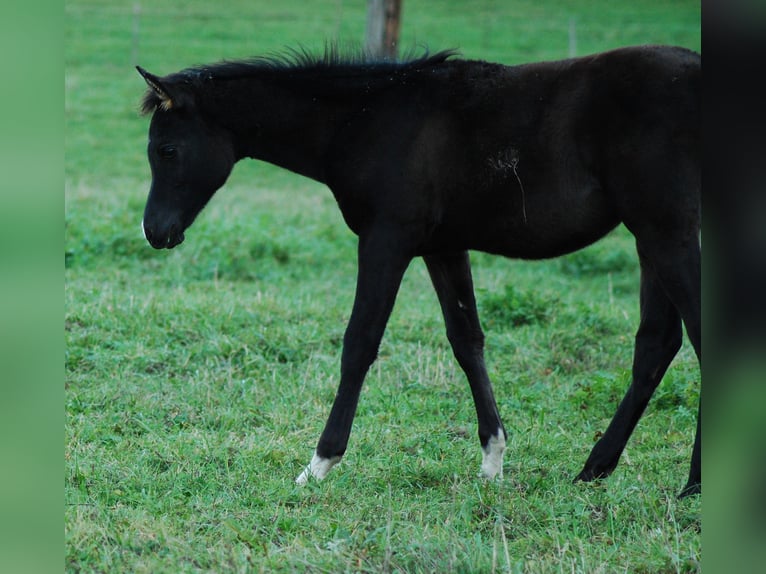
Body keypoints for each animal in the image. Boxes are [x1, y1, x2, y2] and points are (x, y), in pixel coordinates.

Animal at [138, 45, 704, 498]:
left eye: (167, 150)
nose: (155, 231)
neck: (365, 119)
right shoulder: (444, 247)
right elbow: (466, 340)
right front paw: (493, 462)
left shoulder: (386, 240)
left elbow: (360, 342)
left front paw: (318, 464)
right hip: (651, 237)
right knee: (657, 343)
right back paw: (595, 469)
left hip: (665, 231)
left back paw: (693, 485)